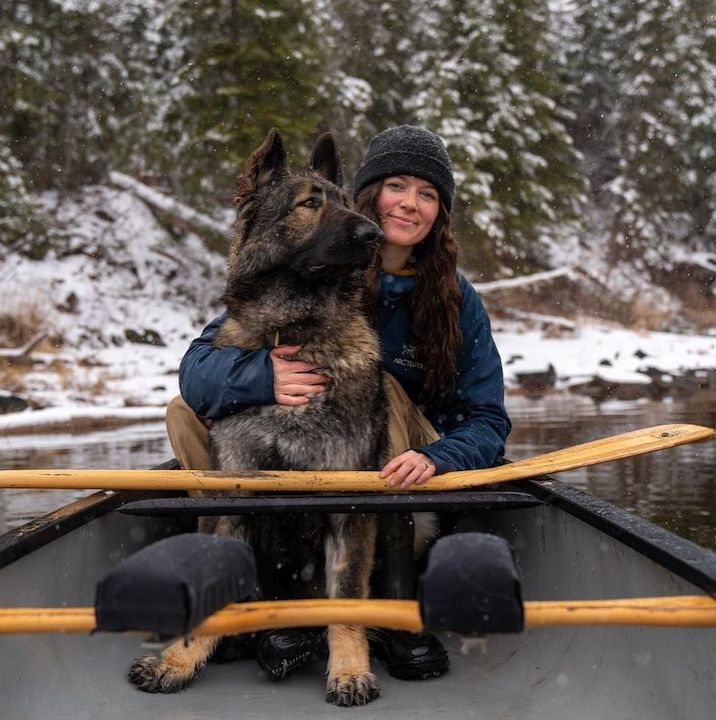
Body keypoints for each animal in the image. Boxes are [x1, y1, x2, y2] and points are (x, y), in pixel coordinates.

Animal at [129, 128, 386, 704]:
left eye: (345, 201)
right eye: (310, 203)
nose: (376, 234)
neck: (294, 332)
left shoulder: (350, 508)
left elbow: (347, 599)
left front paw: (349, 669)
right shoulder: (231, 500)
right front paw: (178, 660)